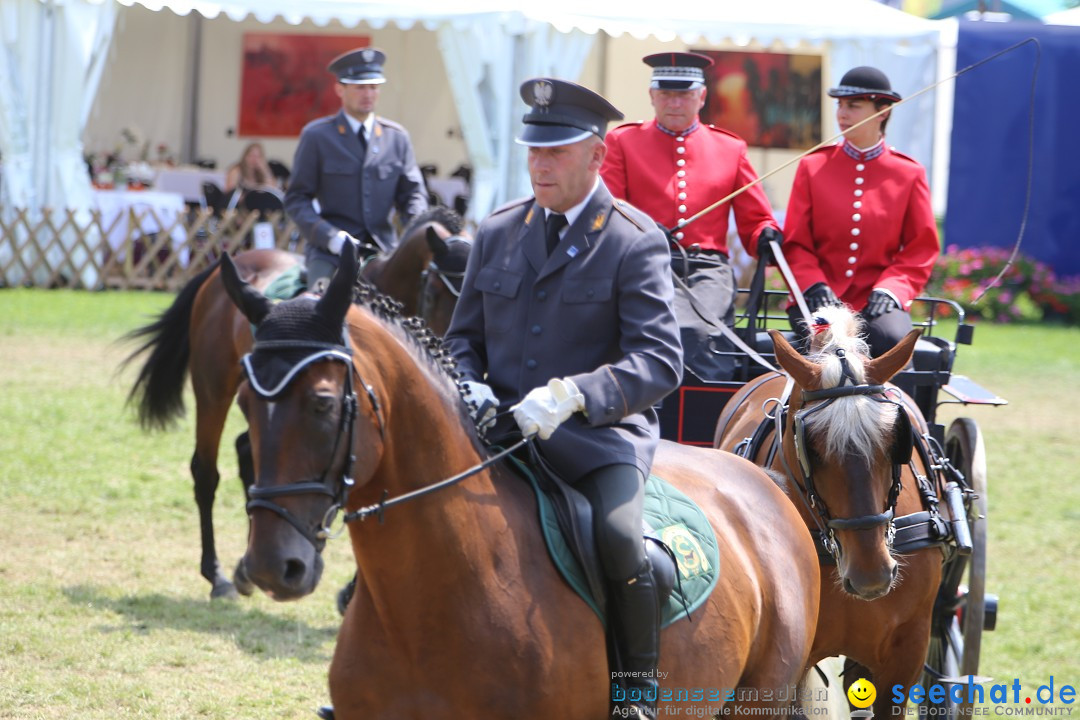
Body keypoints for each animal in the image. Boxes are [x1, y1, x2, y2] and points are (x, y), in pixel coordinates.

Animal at [123, 205, 468, 600]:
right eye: (433, 292)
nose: (451, 357)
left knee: (245, 451)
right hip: (213, 391)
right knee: (206, 472)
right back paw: (219, 575)